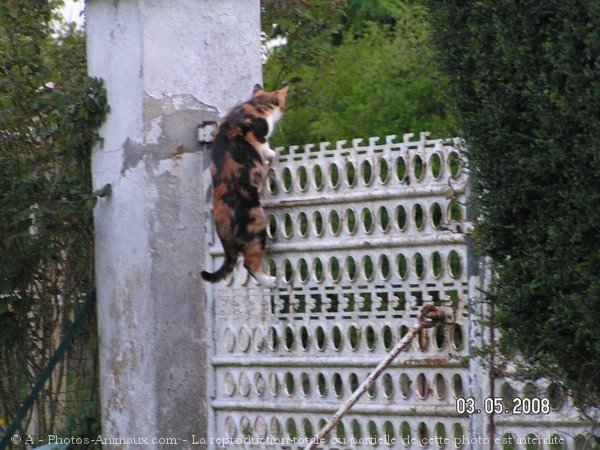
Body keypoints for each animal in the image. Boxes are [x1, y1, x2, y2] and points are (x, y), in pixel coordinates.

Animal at [200, 83, 290, 288]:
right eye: (282, 104)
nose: (283, 112)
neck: (255, 105)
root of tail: (223, 214)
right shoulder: (258, 134)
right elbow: (265, 148)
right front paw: (273, 153)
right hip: (256, 226)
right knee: (249, 263)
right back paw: (270, 281)